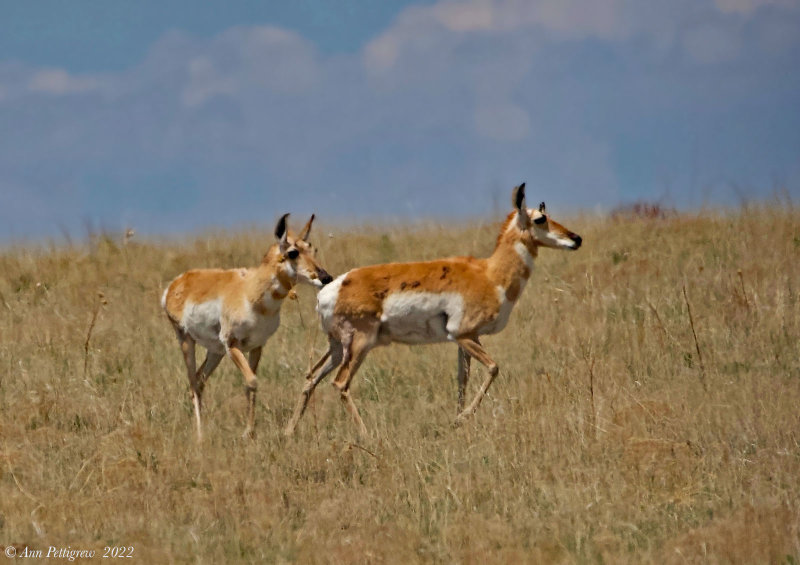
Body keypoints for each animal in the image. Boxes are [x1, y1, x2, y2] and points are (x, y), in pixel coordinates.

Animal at [162, 214, 332, 438]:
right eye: (293, 252)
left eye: (313, 249)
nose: (326, 277)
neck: (250, 292)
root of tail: (177, 282)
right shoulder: (232, 344)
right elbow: (252, 382)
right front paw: (247, 432)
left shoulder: (256, 346)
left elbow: (250, 383)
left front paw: (249, 431)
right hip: (187, 341)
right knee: (192, 382)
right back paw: (200, 435)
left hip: (216, 351)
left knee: (199, 380)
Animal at [284, 183, 584, 434]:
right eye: (540, 218)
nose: (576, 238)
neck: (490, 274)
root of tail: (333, 287)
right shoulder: (464, 335)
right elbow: (494, 368)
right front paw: (462, 418)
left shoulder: (466, 340)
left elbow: (463, 379)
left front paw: (457, 421)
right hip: (360, 345)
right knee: (340, 384)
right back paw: (367, 434)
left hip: (337, 348)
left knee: (310, 378)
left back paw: (289, 433)